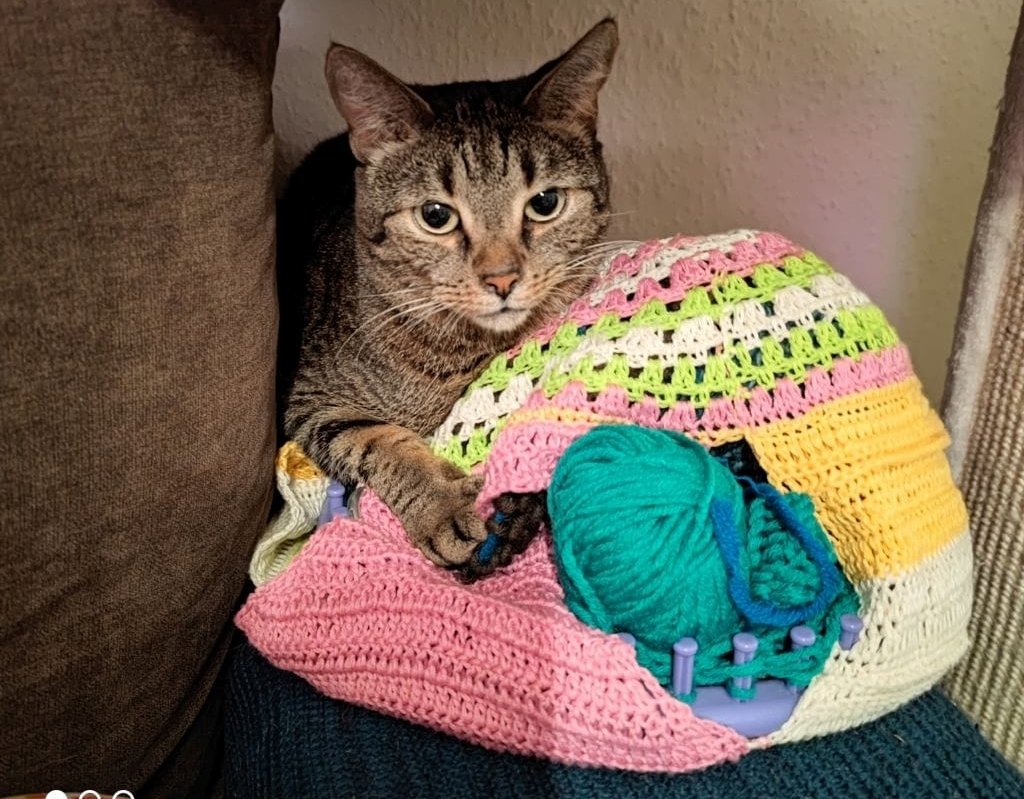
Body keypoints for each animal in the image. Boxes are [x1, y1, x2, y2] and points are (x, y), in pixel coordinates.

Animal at [278, 19, 618, 580]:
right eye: (436, 216)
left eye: (545, 203)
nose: (502, 279)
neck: (461, 353)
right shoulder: (309, 398)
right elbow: (376, 438)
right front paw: (443, 506)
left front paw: (518, 513)